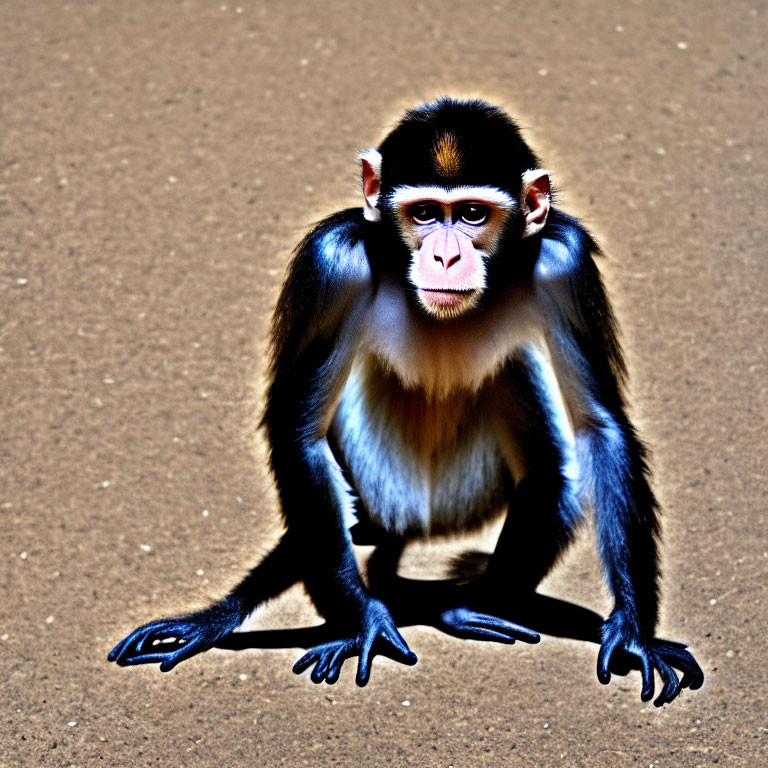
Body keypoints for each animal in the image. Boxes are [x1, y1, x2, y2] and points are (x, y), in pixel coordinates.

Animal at [108, 99, 704, 704]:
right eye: (423, 214)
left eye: (472, 214)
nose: (444, 256)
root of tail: (417, 523)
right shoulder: (332, 263)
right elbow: (298, 432)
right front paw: (364, 620)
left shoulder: (566, 262)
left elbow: (600, 426)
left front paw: (633, 630)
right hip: (382, 484)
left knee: (549, 472)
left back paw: (465, 608)